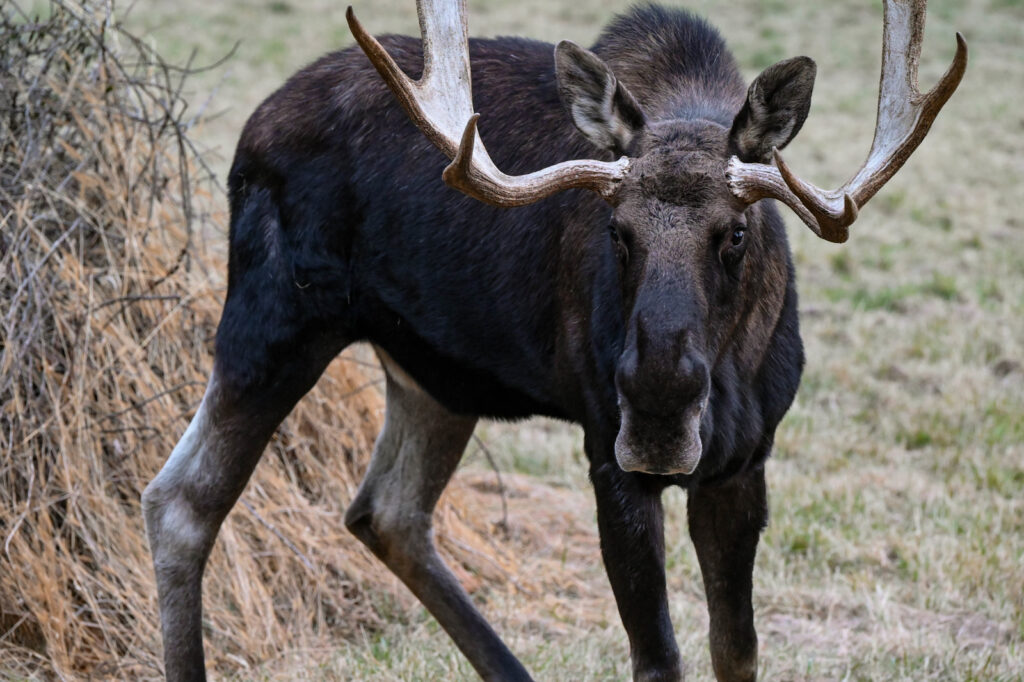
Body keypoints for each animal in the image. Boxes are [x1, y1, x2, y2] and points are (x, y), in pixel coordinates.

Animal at [141, 0, 966, 680]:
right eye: (616, 230)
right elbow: (658, 658)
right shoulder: (609, 456)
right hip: (276, 321)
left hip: (433, 377)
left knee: (388, 512)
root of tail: (255, 124)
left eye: (735, 232)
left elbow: (737, 651)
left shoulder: (745, 462)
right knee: (181, 502)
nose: (659, 406)